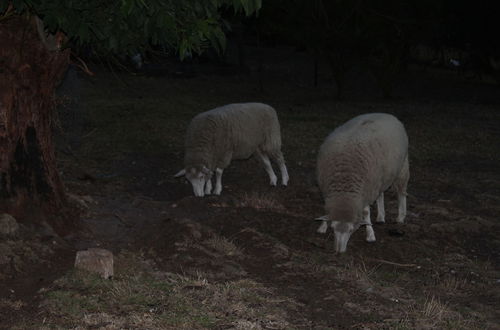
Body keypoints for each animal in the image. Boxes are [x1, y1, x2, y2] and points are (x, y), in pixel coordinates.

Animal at [316, 113, 410, 253]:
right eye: (333, 227)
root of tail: (386, 114)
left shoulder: (365, 192)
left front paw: (370, 234)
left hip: (402, 167)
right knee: (380, 194)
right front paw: (323, 226)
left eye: (351, 230)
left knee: (401, 192)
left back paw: (401, 216)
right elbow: (326, 208)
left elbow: (366, 213)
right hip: (379, 178)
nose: (339, 251)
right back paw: (381, 217)